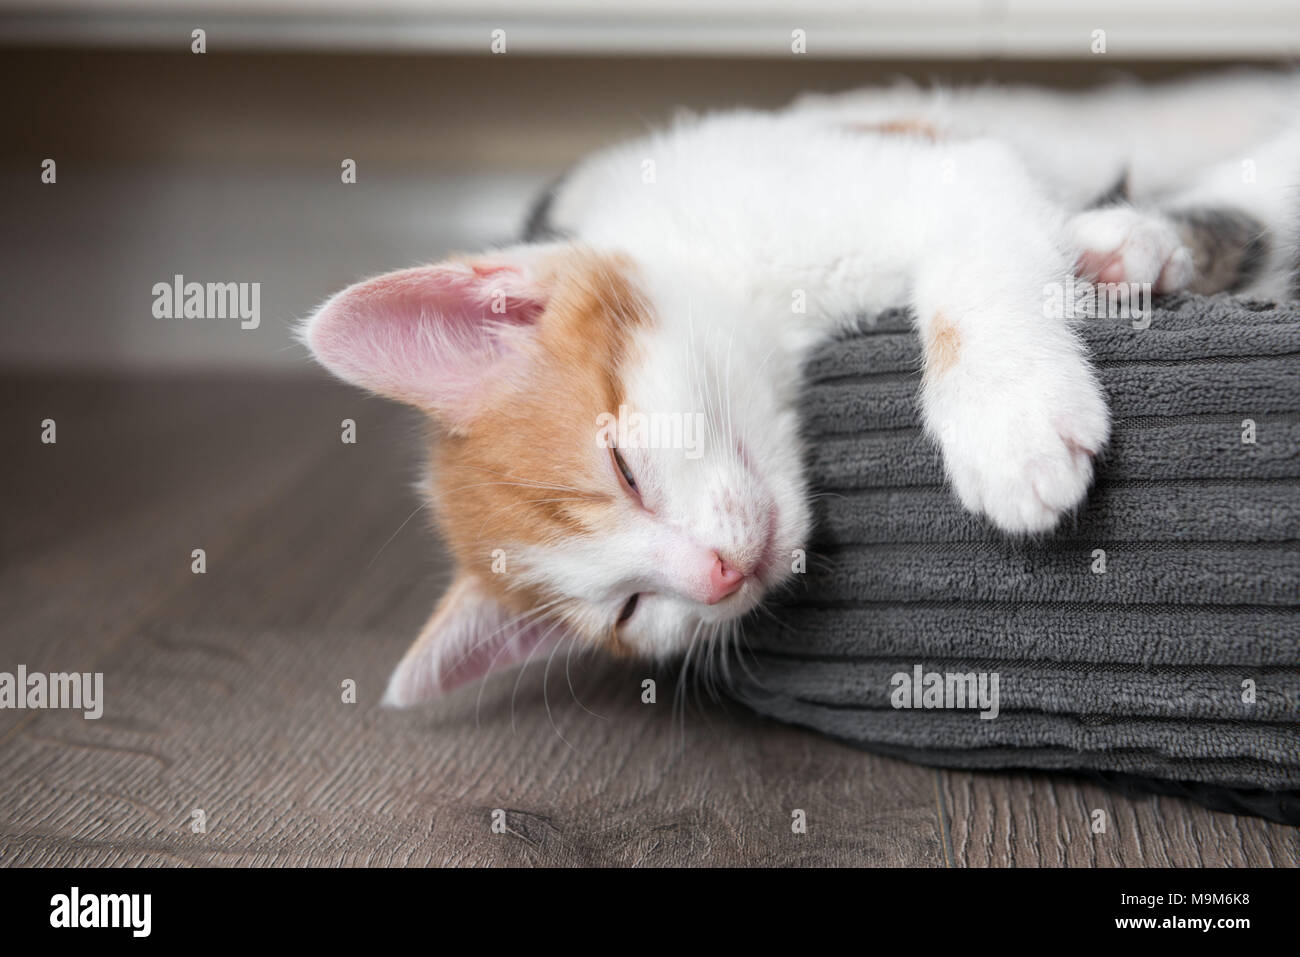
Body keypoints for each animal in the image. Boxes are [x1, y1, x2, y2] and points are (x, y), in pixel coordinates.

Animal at [306, 72, 1300, 702]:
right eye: (630, 608)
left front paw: (1007, 415)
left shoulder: (927, 160)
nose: (715, 576)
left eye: (624, 467)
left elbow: (969, 244)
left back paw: (1134, 241)